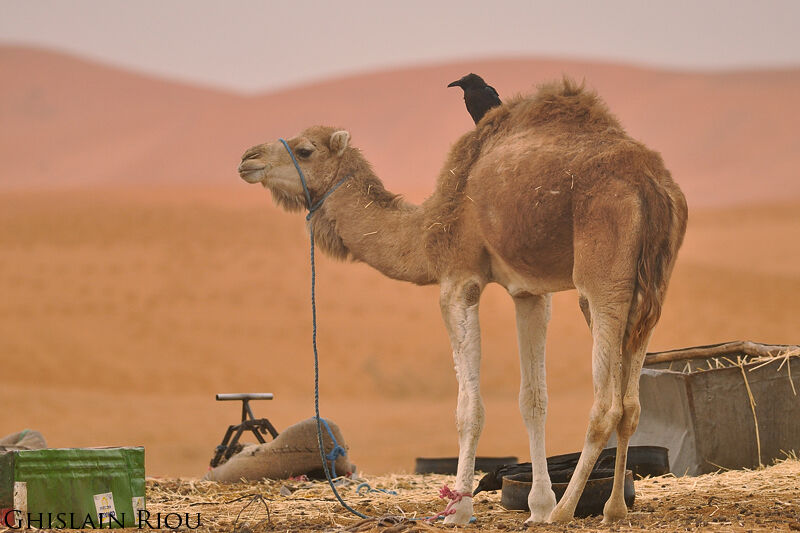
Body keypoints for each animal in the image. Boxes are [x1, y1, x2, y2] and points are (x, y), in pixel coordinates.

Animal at [236, 79, 688, 524]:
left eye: (304, 149)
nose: (247, 157)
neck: (426, 230)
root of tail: (651, 185)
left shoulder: (458, 280)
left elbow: (469, 409)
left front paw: (460, 508)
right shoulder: (529, 292)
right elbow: (533, 400)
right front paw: (536, 505)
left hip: (602, 279)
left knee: (605, 405)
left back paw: (565, 511)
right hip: (651, 290)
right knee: (630, 404)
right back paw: (612, 509)